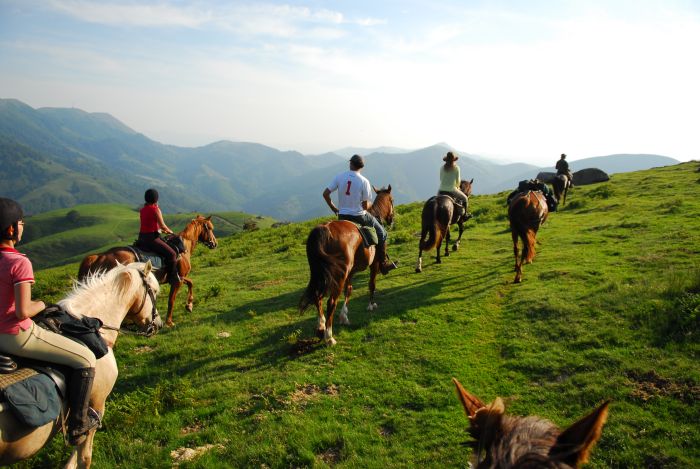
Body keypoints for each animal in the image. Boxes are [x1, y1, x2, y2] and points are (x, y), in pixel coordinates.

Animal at [78, 215, 217, 326]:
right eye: (210, 228)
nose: (214, 243)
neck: (183, 248)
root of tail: (101, 256)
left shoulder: (180, 277)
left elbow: (191, 282)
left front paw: (189, 305)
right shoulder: (177, 280)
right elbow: (171, 300)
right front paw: (169, 322)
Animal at [296, 186, 394, 344]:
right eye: (392, 200)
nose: (391, 219)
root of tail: (324, 229)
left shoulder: (351, 272)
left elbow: (349, 290)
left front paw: (344, 316)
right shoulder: (374, 265)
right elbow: (371, 285)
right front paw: (370, 305)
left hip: (320, 273)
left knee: (317, 296)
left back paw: (321, 326)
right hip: (338, 274)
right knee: (331, 302)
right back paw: (329, 337)